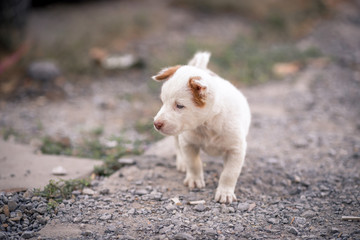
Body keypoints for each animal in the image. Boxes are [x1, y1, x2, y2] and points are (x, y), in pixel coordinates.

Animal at [152, 52, 250, 202]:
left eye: (179, 106)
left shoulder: (236, 149)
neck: (207, 123)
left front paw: (225, 193)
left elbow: (229, 173)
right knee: (177, 146)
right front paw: (194, 180)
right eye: (163, 101)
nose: (156, 124)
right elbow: (194, 163)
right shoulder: (188, 143)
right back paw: (182, 163)